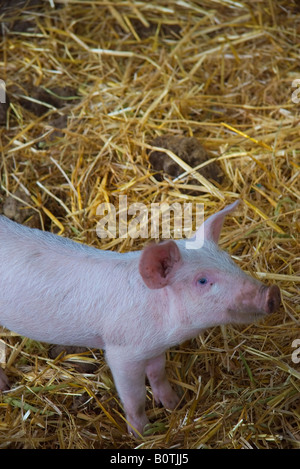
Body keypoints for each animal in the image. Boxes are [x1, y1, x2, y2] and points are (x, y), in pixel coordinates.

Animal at [0, 200, 280, 436]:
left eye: (229, 261)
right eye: (202, 280)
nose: (272, 293)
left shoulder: (154, 346)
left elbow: (158, 373)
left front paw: (174, 404)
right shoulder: (121, 352)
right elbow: (133, 398)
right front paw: (143, 434)